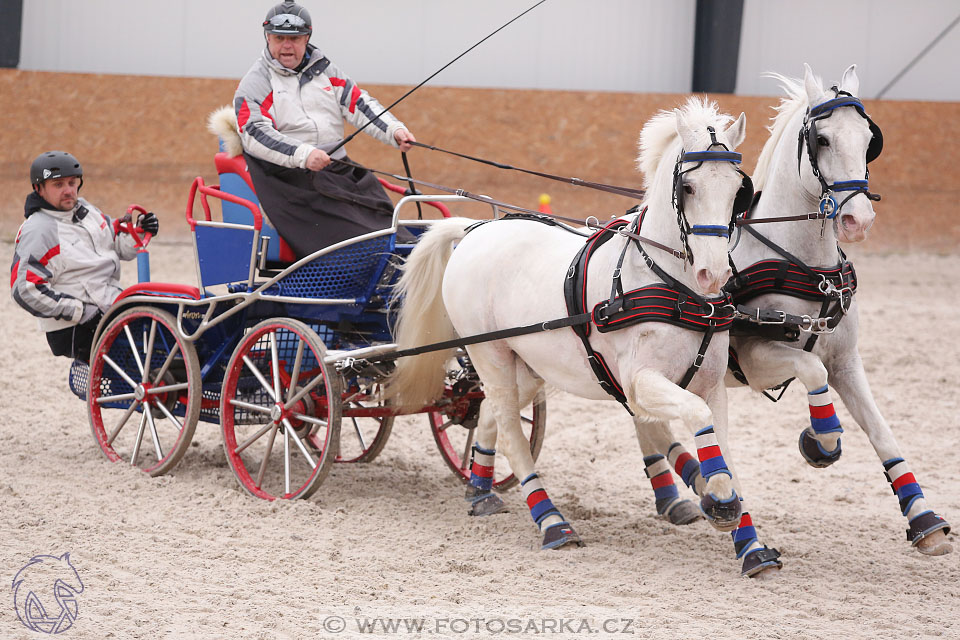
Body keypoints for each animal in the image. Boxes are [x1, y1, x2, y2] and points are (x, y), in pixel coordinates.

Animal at [386, 95, 752, 564]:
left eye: (738, 191)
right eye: (688, 188)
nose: (713, 273)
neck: (676, 289)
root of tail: (474, 229)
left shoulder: (711, 384)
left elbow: (722, 447)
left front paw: (752, 546)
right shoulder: (639, 382)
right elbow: (697, 419)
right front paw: (720, 501)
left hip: (527, 367)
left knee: (487, 414)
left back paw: (481, 491)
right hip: (491, 355)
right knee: (510, 431)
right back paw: (552, 522)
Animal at [644, 62, 952, 556]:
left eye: (869, 139)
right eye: (821, 140)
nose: (858, 221)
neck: (807, 266)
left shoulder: (847, 360)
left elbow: (880, 429)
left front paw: (925, 518)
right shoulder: (755, 359)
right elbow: (811, 369)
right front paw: (819, 443)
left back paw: (677, 498)